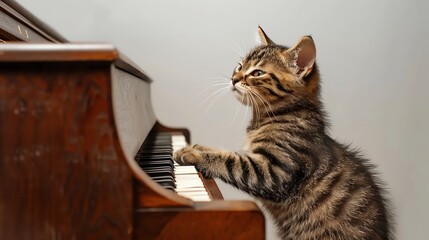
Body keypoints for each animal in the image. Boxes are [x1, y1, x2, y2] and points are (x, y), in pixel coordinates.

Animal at [172, 27, 392, 239]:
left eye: (257, 73)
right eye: (239, 66)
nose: (233, 79)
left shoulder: (274, 171)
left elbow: (232, 161)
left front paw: (193, 153)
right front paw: (194, 146)